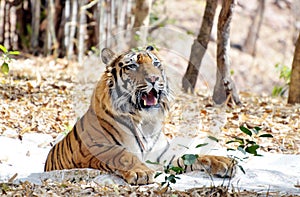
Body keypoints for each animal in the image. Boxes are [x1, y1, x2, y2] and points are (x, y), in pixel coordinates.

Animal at [45, 45, 237, 185]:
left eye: (156, 64)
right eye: (132, 66)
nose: (154, 79)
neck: (145, 121)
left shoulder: (162, 155)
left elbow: (191, 156)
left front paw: (224, 162)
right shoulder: (98, 147)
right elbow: (122, 154)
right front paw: (141, 172)